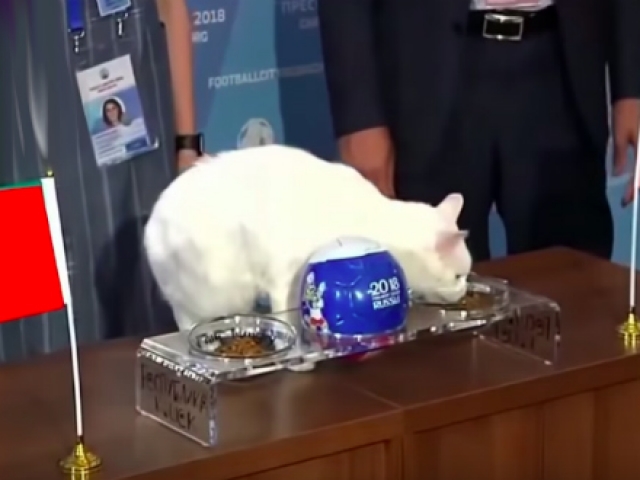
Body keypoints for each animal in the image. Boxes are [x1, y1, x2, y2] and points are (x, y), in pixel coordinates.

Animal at [144, 145, 472, 370]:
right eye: (458, 276)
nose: (464, 290)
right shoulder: (284, 276)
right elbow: (286, 318)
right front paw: (298, 359)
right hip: (213, 290)